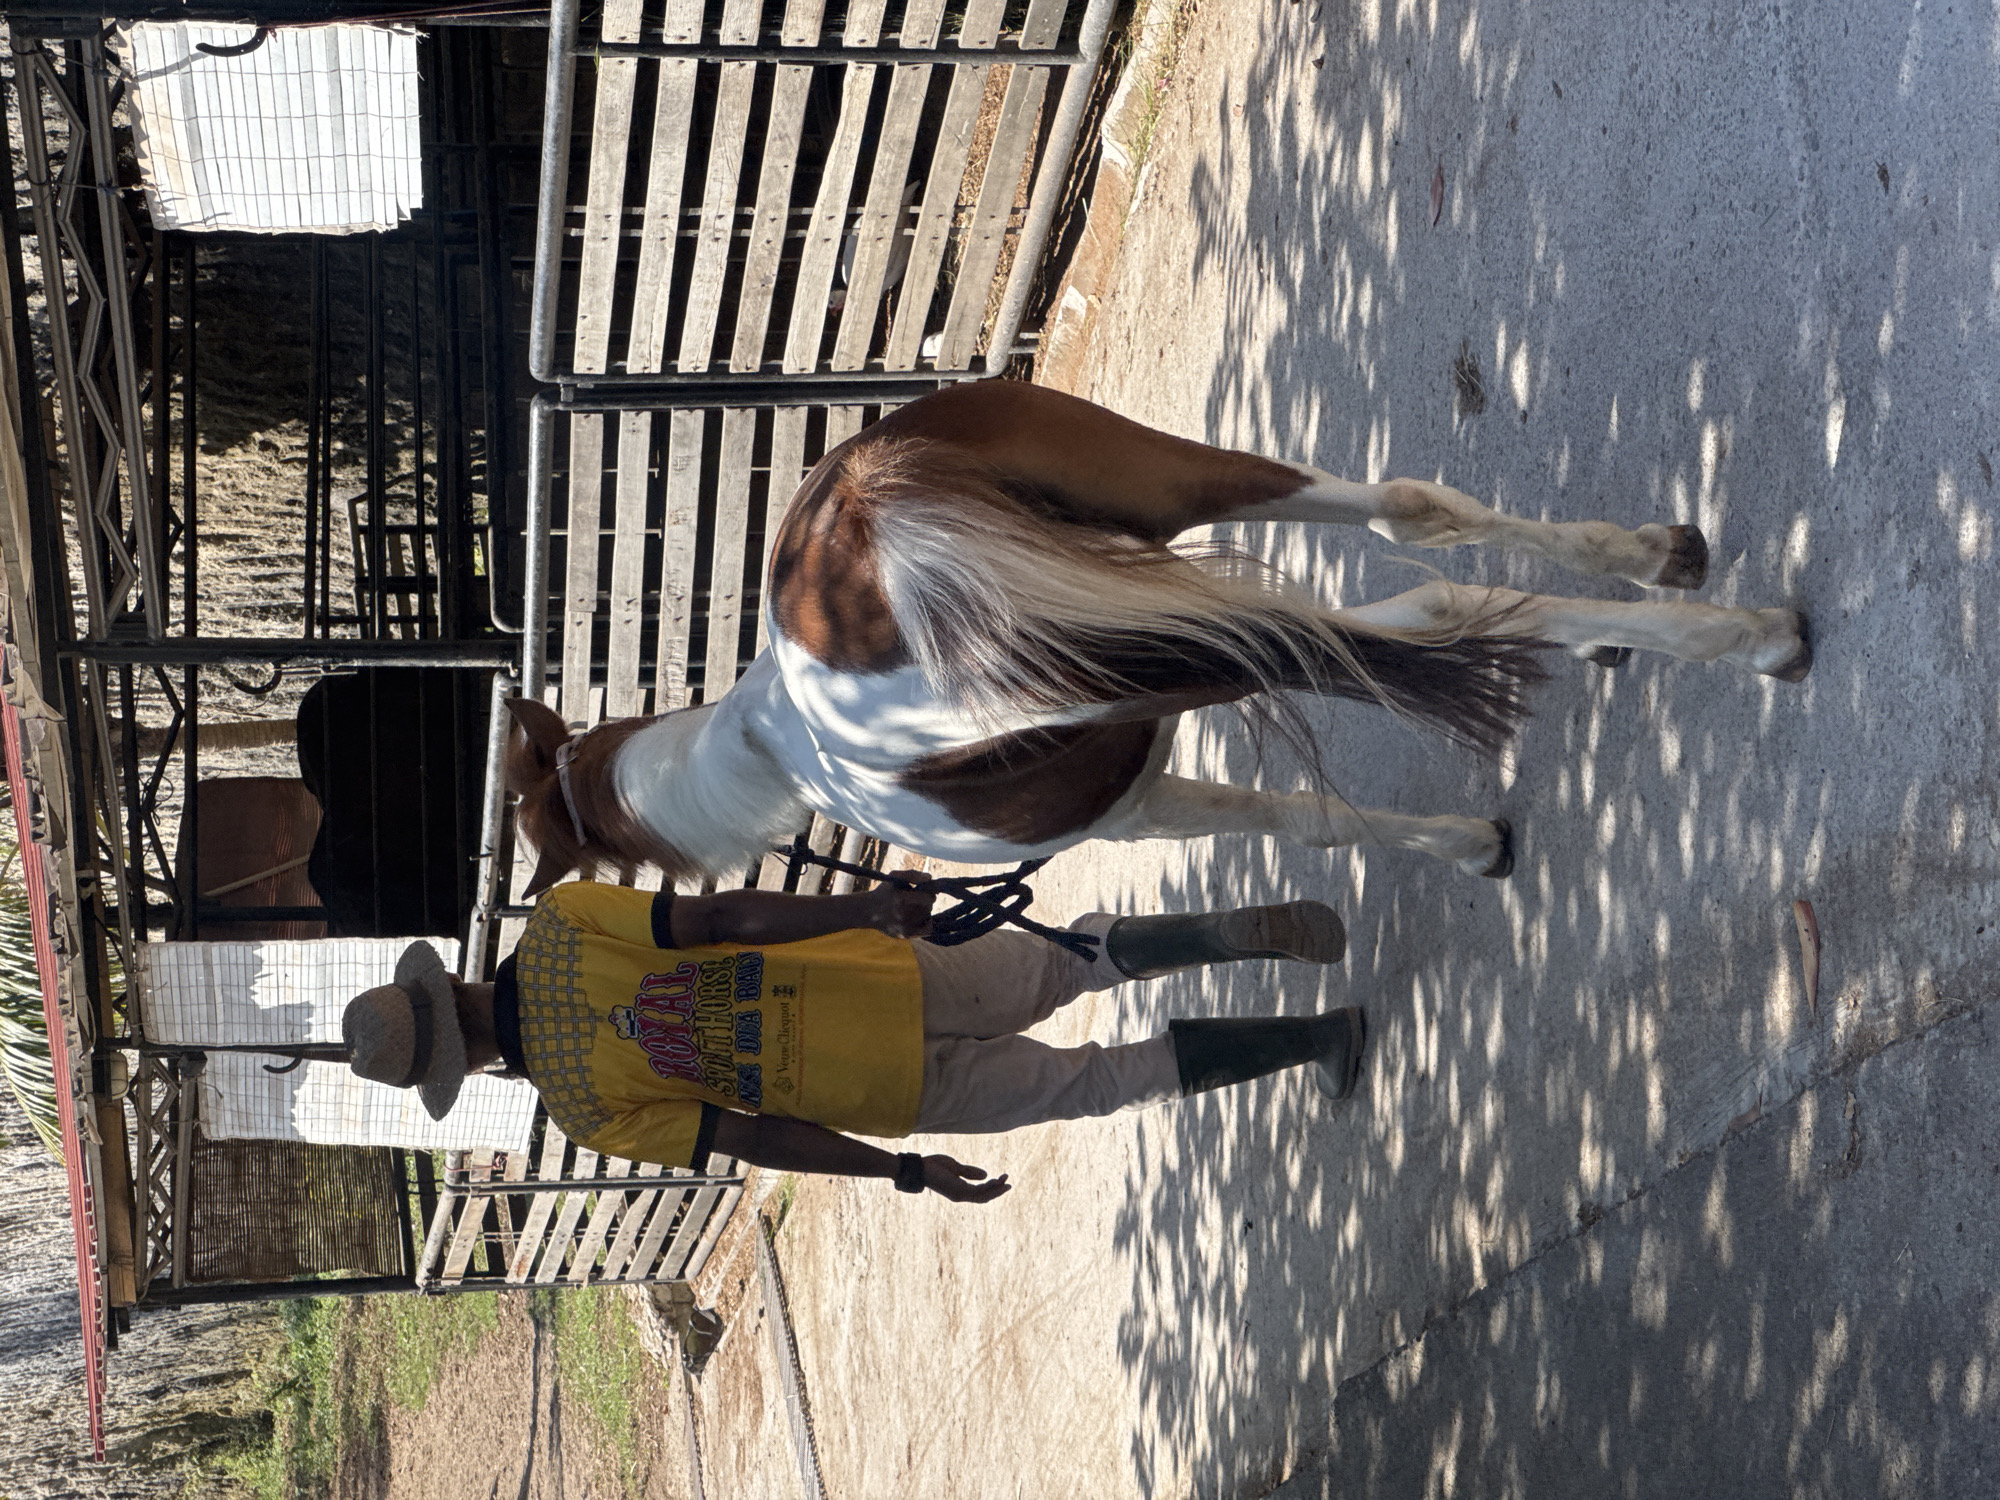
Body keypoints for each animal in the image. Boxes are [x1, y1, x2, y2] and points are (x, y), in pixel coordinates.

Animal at [503, 381, 1809, 896]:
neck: (767, 745)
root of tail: (874, 517)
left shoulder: (1129, 803)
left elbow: (1313, 814)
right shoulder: (1144, 770)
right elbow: (1311, 819)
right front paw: (1469, 837)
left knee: (1427, 602)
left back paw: (1752, 638)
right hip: (1181, 482)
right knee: (1409, 515)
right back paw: (1658, 565)